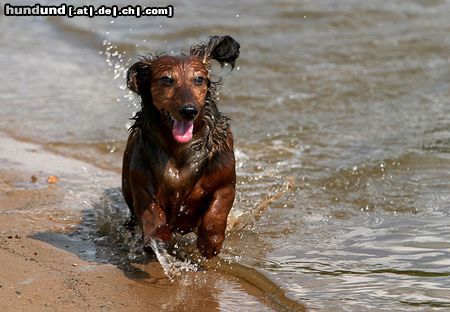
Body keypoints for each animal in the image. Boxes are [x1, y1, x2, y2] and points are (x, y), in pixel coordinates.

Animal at [119, 35, 239, 258]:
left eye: (199, 79)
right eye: (167, 79)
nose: (189, 111)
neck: (180, 150)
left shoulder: (226, 182)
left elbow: (216, 211)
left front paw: (210, 244)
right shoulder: (142, 184)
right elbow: (152, 214)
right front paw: (157, 239)